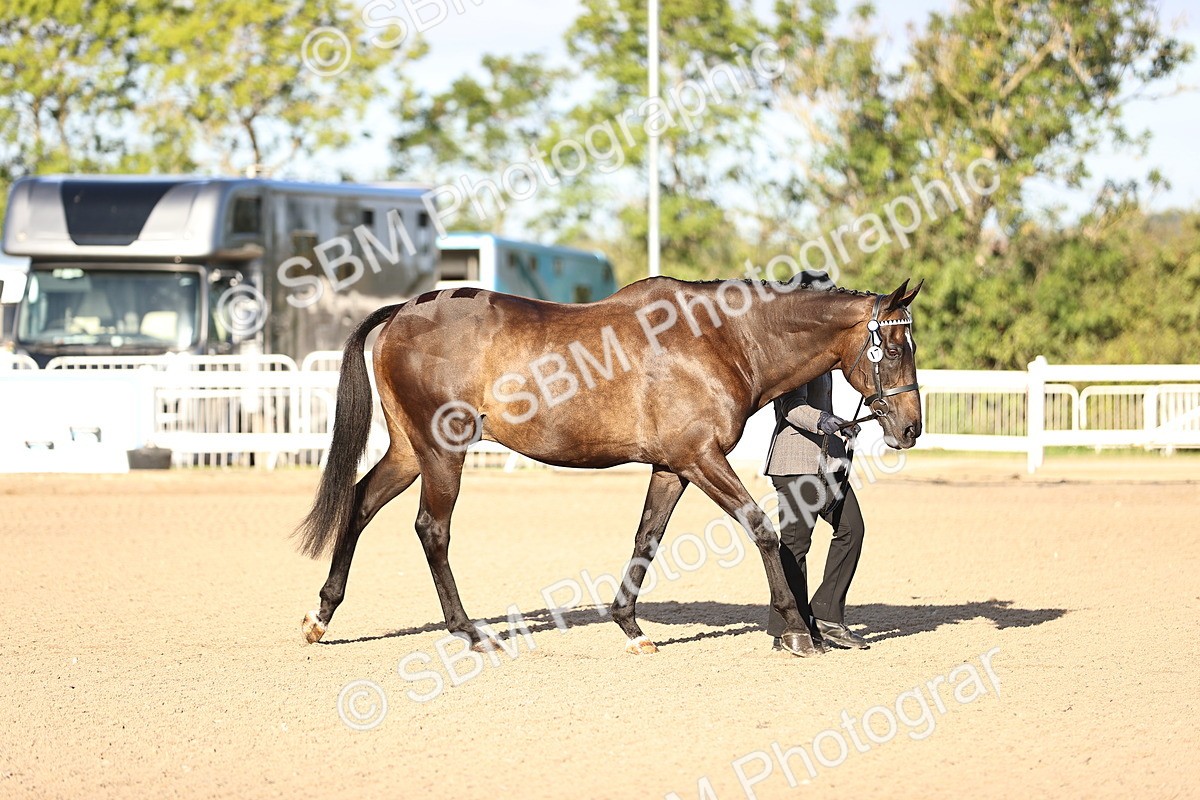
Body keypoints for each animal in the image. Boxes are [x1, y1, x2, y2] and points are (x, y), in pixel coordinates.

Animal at [294, 275, 923, 657]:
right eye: (893, 350)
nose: (910, 429)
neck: (722, 338)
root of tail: (405, 309)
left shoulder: (673, 467)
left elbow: (647, 537)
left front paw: (630, 626)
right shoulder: (702, 458)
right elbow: (763, 530)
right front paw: (796, 632)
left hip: (409, 451)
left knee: (359, 503)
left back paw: (321, 616)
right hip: (441, 452)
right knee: (432, 530)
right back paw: (470, 633)